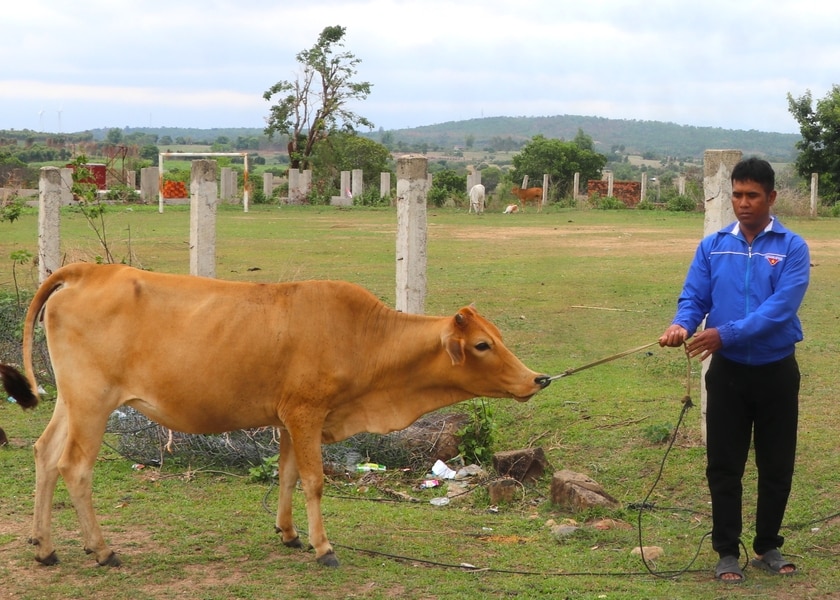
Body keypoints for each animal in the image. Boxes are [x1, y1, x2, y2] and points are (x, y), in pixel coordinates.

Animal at [1, 262, 552, 568]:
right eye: (482, 344)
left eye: (497, 337)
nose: (538, 379)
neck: (366, 339)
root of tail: (88, 270)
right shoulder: (307, 413)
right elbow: (314, 480)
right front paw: (324, 547)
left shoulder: (288, 417)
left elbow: (287, 474)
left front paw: (289, 534)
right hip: (93, 403)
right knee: (75, 468)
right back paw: (101, 550)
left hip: (72, 401)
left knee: (45, 454)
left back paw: (44, 547)